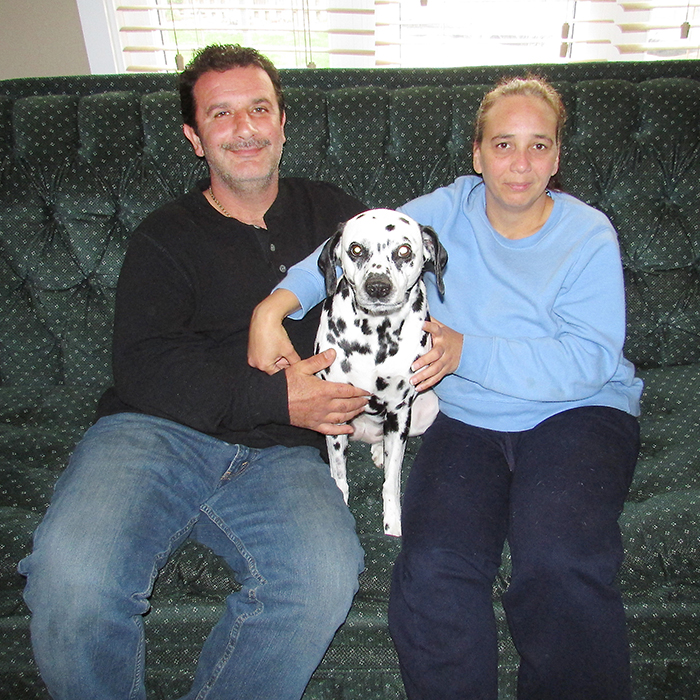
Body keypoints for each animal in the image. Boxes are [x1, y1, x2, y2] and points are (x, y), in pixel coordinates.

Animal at [314, 208, 446, 536]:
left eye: (404, 250)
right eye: (355, 249)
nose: (377, 287)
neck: (376, 336)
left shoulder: (399, 411)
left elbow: (391, 482)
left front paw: (393, 523)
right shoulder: (335, 411)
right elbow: (339, 478)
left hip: (426, 407)